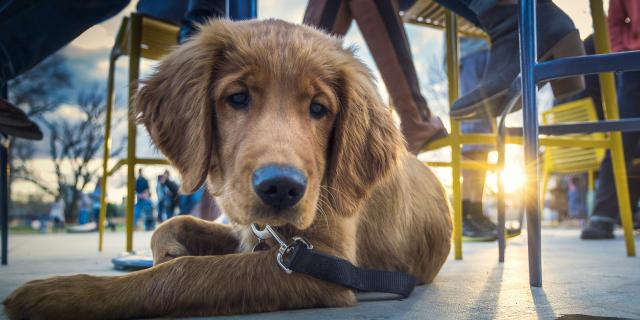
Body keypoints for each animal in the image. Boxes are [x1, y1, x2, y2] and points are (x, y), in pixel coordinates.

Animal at [1, 18, 450, 318]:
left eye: (319, 109)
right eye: (237, 98)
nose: (281, 187)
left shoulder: (327, 262)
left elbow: (187, 274)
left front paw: (69, 293)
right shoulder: (253, 231)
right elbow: (174, 223)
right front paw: (168, 249)